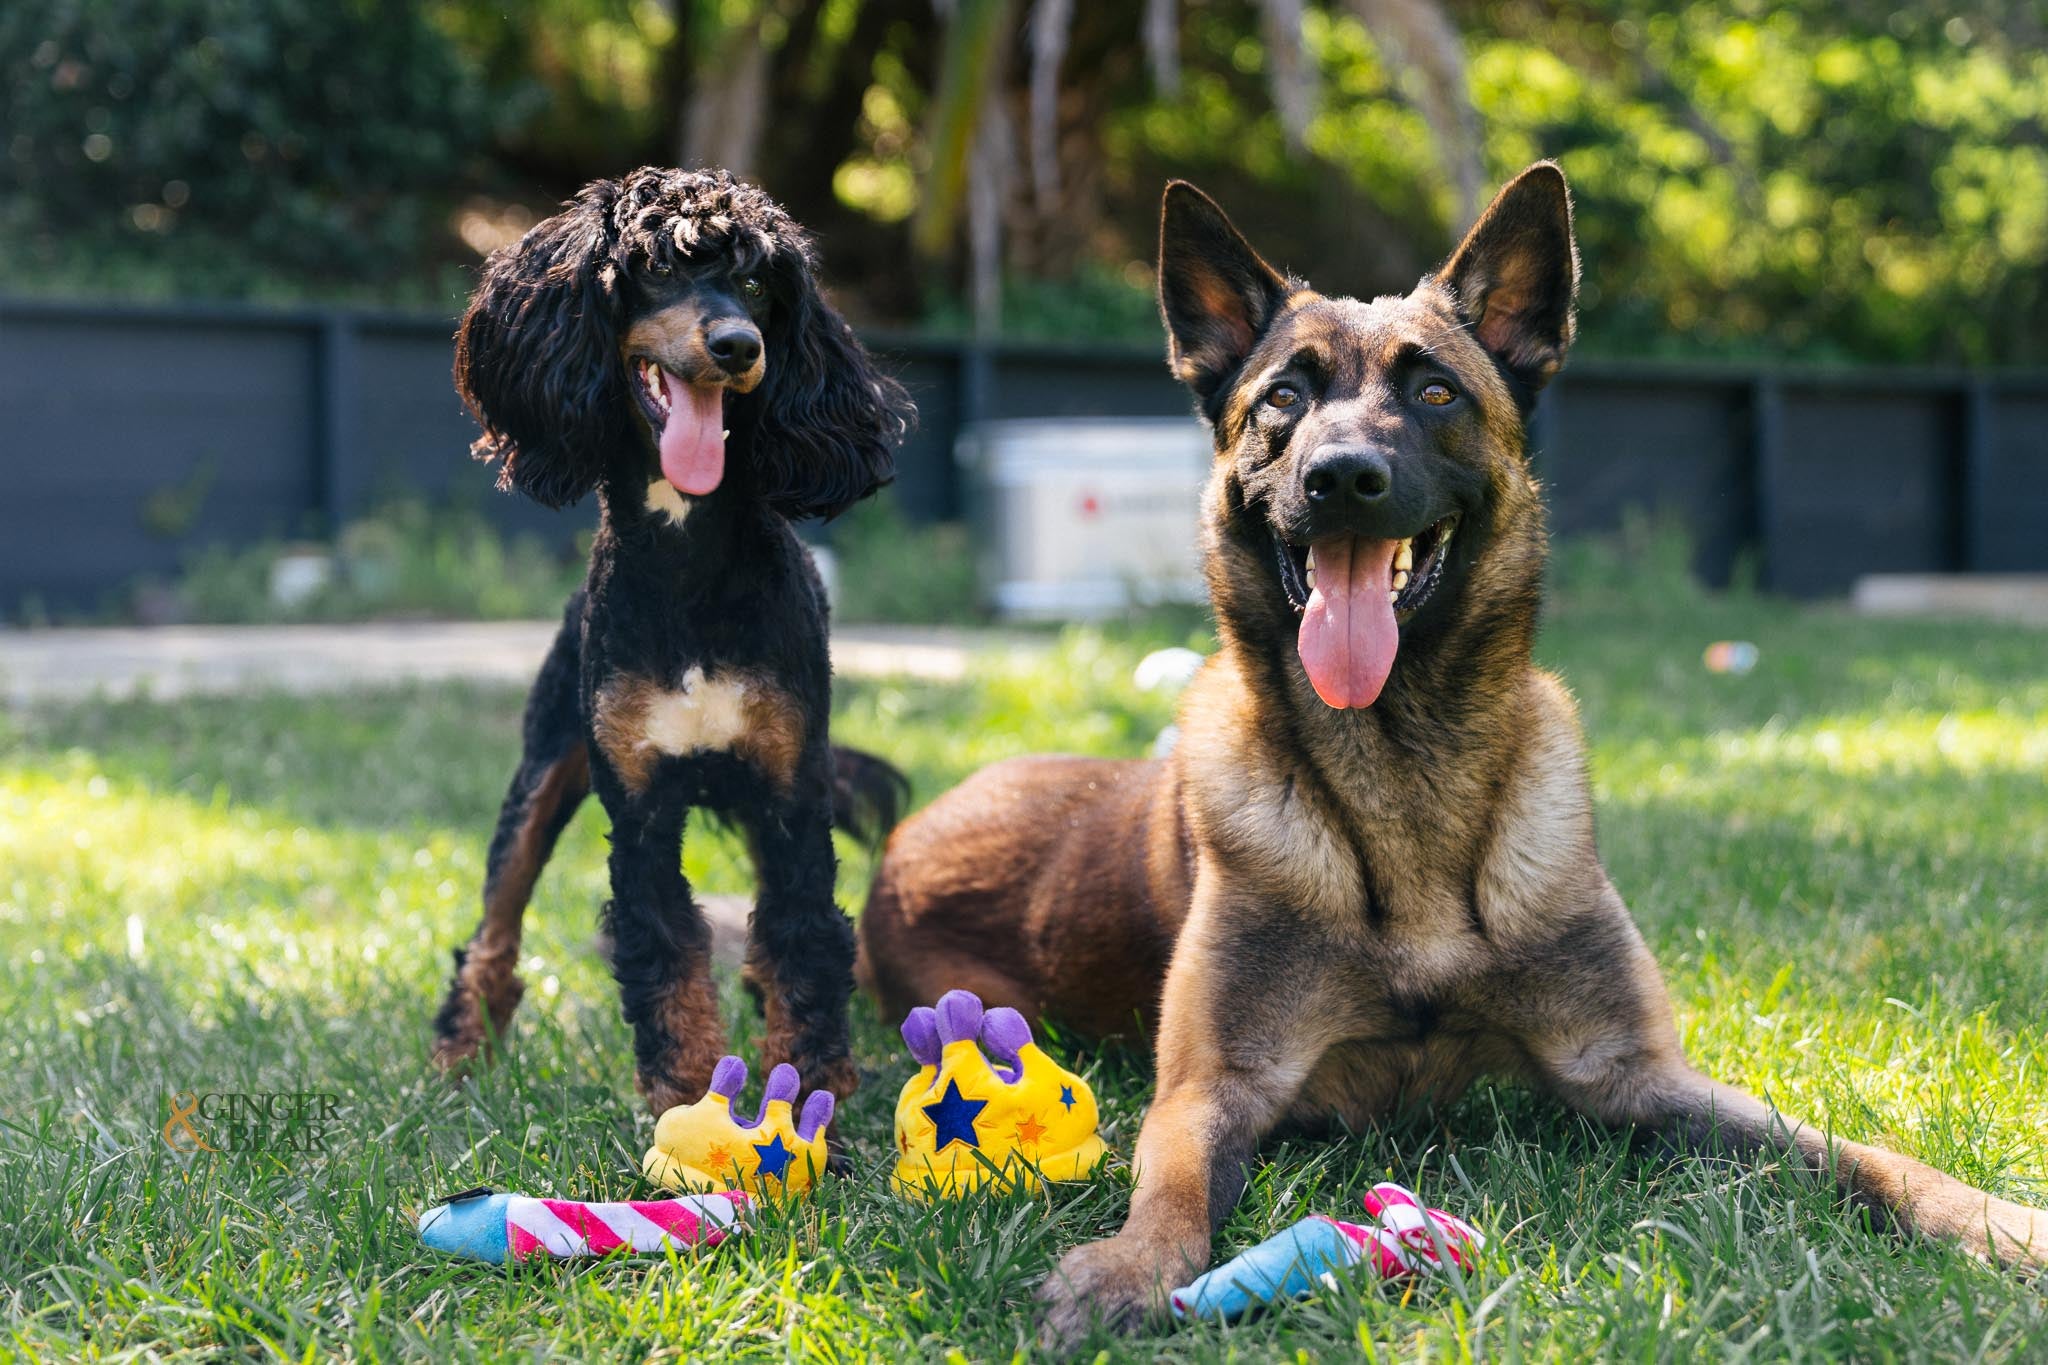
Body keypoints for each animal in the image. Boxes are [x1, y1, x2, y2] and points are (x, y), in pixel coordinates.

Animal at [856, 162, 2039, 1342]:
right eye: (1282, 399)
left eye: (1434, 394)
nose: (1342, 477)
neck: (1404, 774)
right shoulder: (1213, 1086)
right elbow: (1176, 1186)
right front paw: (1127, 1268)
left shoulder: (1636, 1076)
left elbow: (1858, 1157)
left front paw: (1998, 1222)